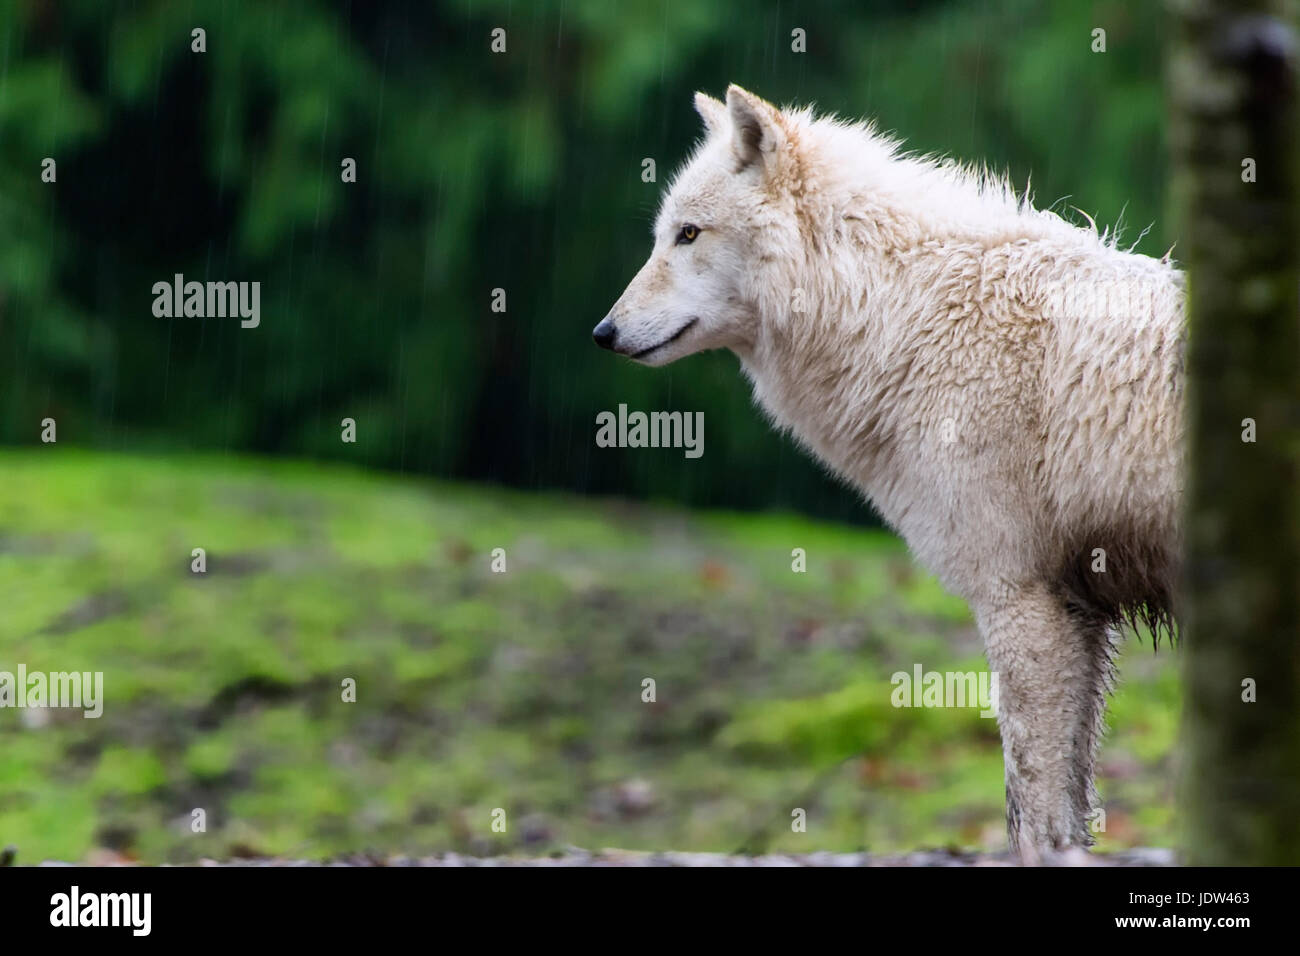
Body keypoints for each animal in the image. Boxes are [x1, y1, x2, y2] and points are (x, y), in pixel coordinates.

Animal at [595, 85, 1185, 863]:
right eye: (666, 234)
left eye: (687, 235)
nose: (602, 333)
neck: (902, 316)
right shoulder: (1075, 611)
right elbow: (1060, 813)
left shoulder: (1022, 600)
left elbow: (1032, 810)